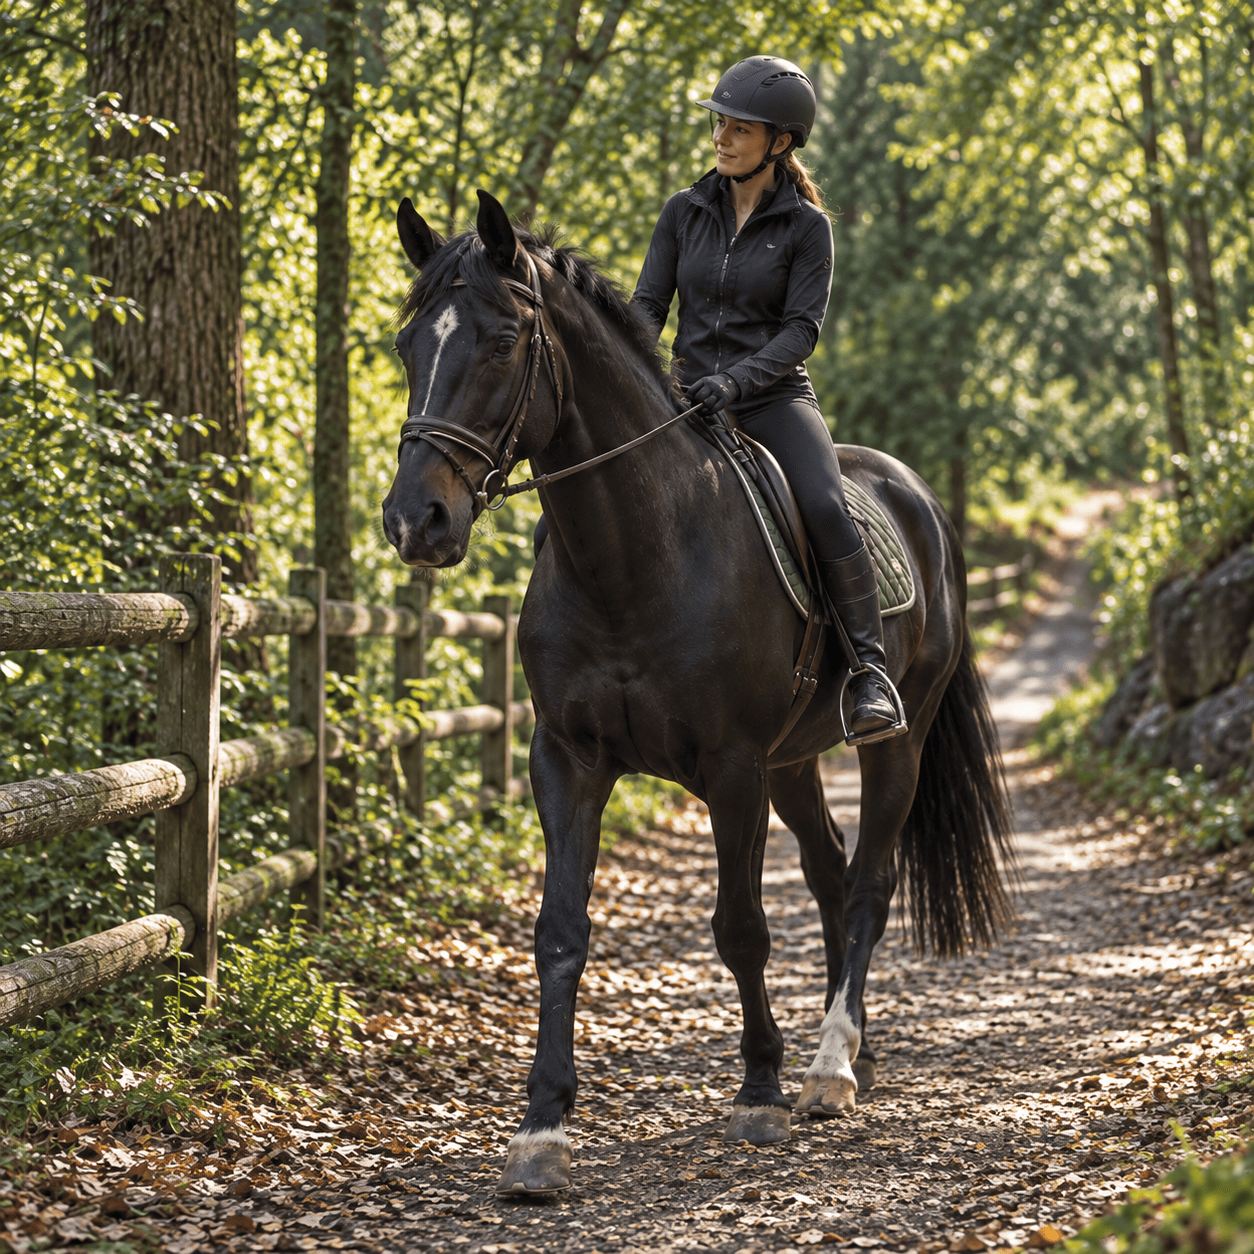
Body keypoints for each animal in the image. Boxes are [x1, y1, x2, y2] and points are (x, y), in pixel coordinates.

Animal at [381, 189, 1013, 1195]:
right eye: (410, 345)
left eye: (504, 340)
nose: (417, 521)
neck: (634, 555)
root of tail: (914, 496)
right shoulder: (566, 761)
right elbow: (560, 931)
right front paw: (540, 1130)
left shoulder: (730, 768)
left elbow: (741, 927)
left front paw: (759, 1093)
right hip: (795, 762)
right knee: (831, 873)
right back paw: (855, 1051)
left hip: (893, 743)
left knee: (869, 882)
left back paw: (828, 1069)